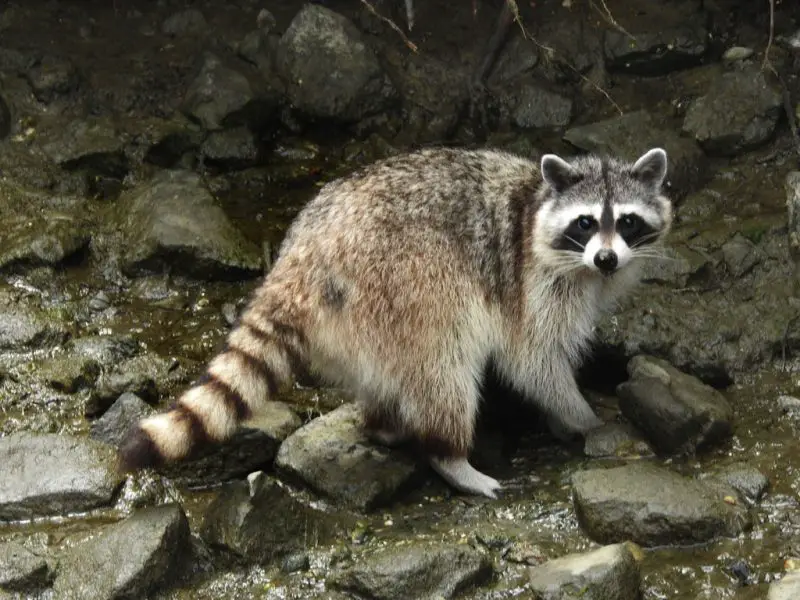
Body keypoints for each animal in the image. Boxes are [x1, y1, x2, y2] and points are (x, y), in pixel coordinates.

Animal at [119, 146, 672, 499]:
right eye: (585, 222)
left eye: (626, 222)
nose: (606, 259)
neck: (537, 205)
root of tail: (304, 253)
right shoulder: (528, 280)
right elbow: (533, 361)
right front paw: (583, 416)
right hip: (406, 281)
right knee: (444, 367)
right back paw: (450, 455)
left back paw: (384, 422)